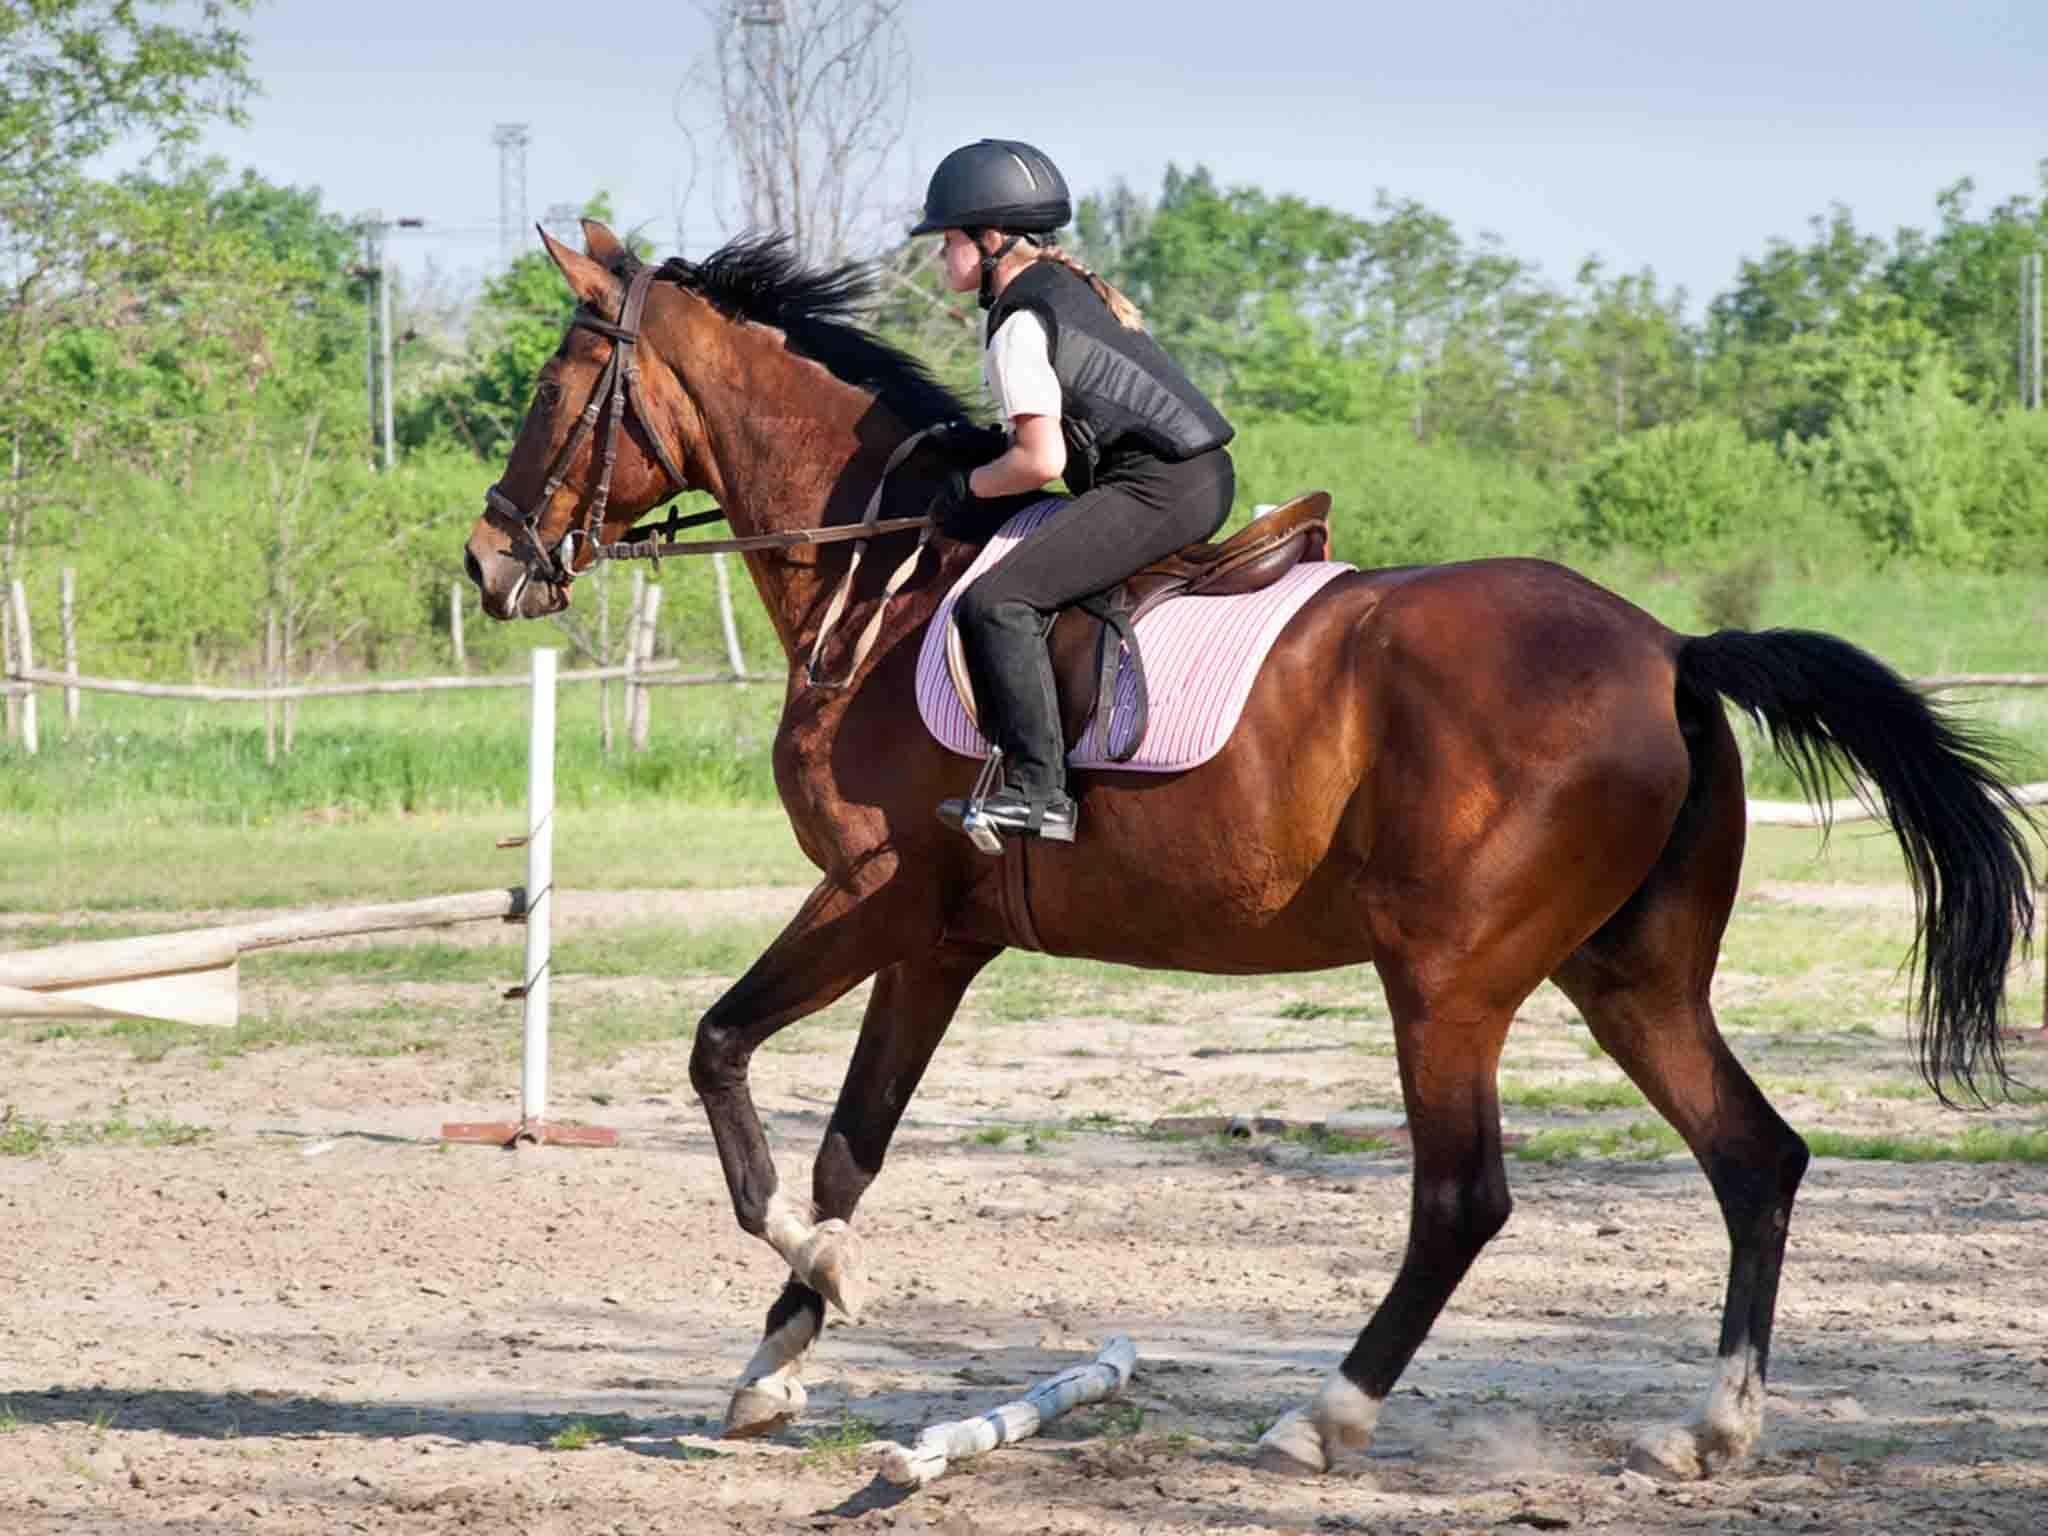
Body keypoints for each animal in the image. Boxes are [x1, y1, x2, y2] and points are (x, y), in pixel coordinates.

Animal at [456, 222, 2039, 1482]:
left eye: (550, 391)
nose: (489, 563)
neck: (885, 577)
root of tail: (1666, 651)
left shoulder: (873, 897)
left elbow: (720, 1051)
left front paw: (810, 1274)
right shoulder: (941, 938)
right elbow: (854, 1144)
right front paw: (779, 1359)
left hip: (1447, 980)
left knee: (1463, 1199)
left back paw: (1321, 1419)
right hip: (1627, 977)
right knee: (1754, 1158)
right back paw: (1712, 1431)